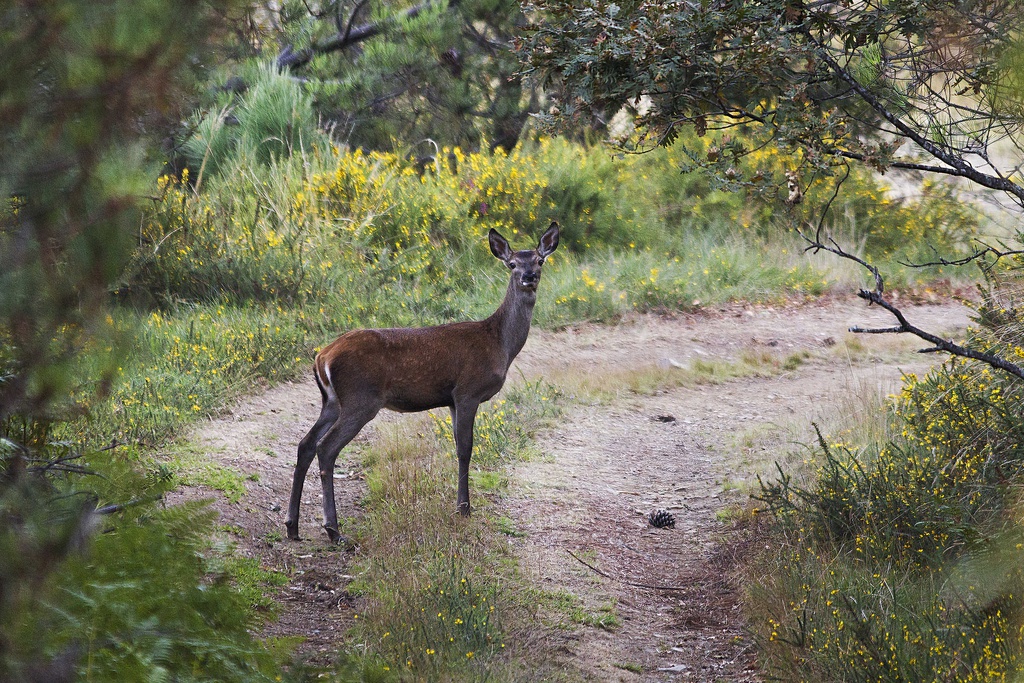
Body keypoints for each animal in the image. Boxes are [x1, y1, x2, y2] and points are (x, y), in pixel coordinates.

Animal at [286, 222, 560, 542]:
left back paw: (292, 527)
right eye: (512, 263)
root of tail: (322, 357)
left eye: (539, 261)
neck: (499, 343)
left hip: (332, 401)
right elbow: (465, 448)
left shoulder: (453, 400)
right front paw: (464, 508)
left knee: (306, 444)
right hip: (360, 399)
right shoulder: (467, 391)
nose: (529, 276)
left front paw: (462, 505)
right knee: (326, 447)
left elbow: (458, 446)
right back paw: (333, 530)